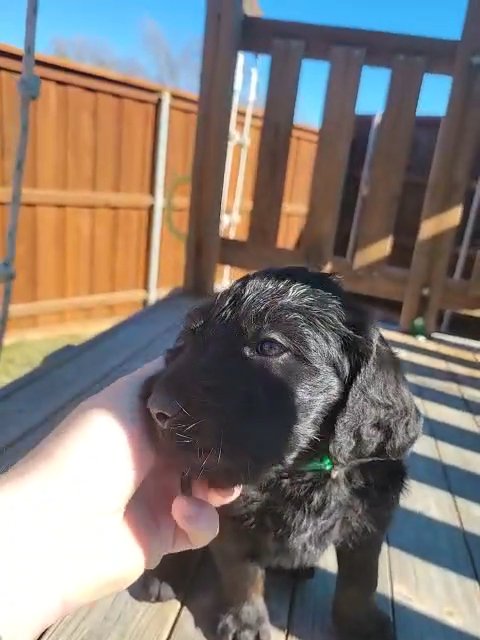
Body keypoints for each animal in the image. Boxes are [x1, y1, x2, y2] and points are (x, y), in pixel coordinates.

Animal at [146, 268, 420, 640]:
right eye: (190, 338)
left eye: (270, 347)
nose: (155, 409)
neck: (303, 472)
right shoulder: (231, 521)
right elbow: (242, 574)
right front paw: (246, 623)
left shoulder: (369, 519)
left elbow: (361, 578)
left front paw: (361, 622)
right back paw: (164, 575)